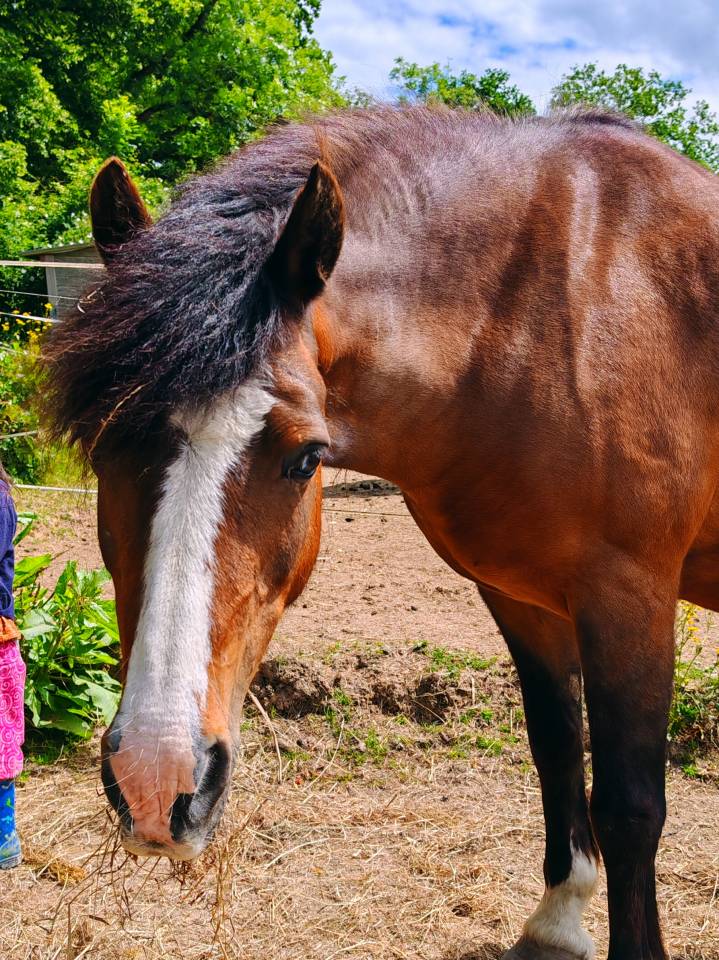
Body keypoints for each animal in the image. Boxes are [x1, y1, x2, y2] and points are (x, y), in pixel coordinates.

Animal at [42, 106, 719, 960]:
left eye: (306, 456)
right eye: (99, 447)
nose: (156, 781)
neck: (550, 312)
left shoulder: (630, 595)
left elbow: (630, 807)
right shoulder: (519, 597)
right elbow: (556, 749)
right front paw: (558, 921)